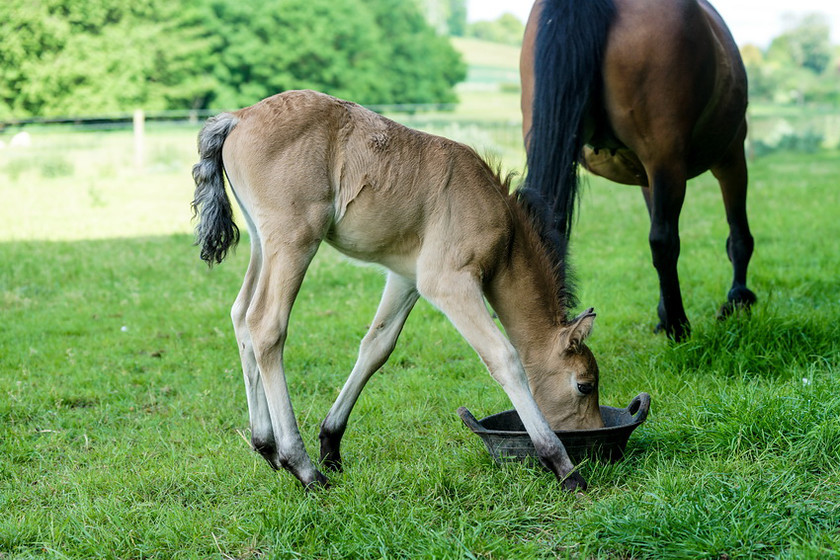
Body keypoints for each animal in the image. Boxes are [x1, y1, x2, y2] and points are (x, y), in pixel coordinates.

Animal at [193, 89, 604, 492]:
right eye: (584, 386)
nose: (593, 435)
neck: (499, 220)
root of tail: (239, 116)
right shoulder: (449, 282)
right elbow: (504, 358)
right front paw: (565, 468)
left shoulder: (406, 280)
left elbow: (376, 347)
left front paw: (331, 444)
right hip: (295, 241)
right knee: (266, 325)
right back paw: (304, 468)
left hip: (262, 243)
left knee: (241, 315)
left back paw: (266, 445)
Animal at [520, 1, 756, 342]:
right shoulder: (732, 155)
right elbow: (738, 235)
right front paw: (738, 300)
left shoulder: (647, 177)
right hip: (668, 158)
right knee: (664, 241)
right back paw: (679, 327)